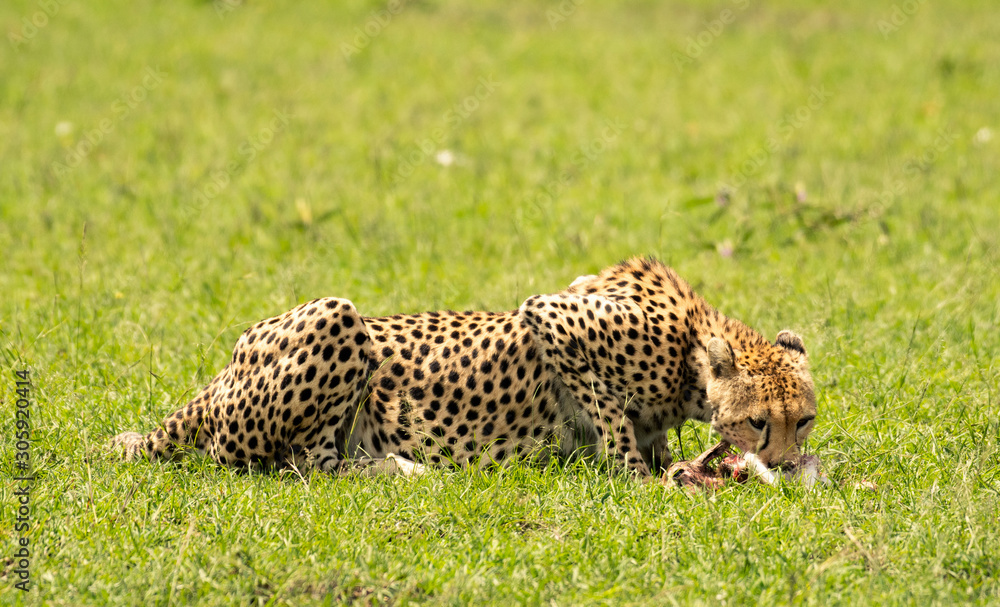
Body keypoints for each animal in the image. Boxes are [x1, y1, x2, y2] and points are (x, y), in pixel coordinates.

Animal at [111, 257, 817, 479]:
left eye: (803, 421)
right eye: (759, 422)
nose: (784, 464)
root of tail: (224, 367)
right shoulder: (554, 317)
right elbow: (612, 425)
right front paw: (640, 478)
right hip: (338, 321)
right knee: (300, 463)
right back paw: (397, 469)